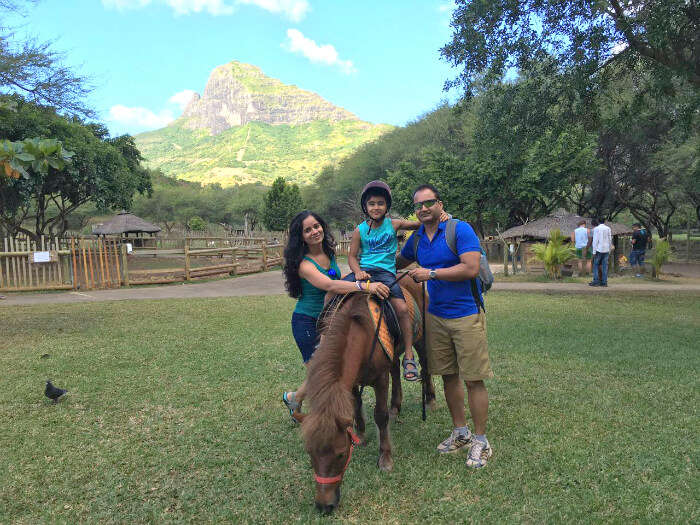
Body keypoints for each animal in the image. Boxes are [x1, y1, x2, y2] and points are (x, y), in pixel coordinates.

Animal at [294, 278, 432, 512]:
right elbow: (355, 407)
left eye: (340, 454)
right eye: (309, 453)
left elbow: (380, 416)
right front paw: (359, 435)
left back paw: (429, 399)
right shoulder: (350, 382)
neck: (362, 332)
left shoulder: (380, 379)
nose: (324, 505)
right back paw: (396, 407)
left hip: (421, 338)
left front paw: (385, 458)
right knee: (395, 369)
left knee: (424, 363)